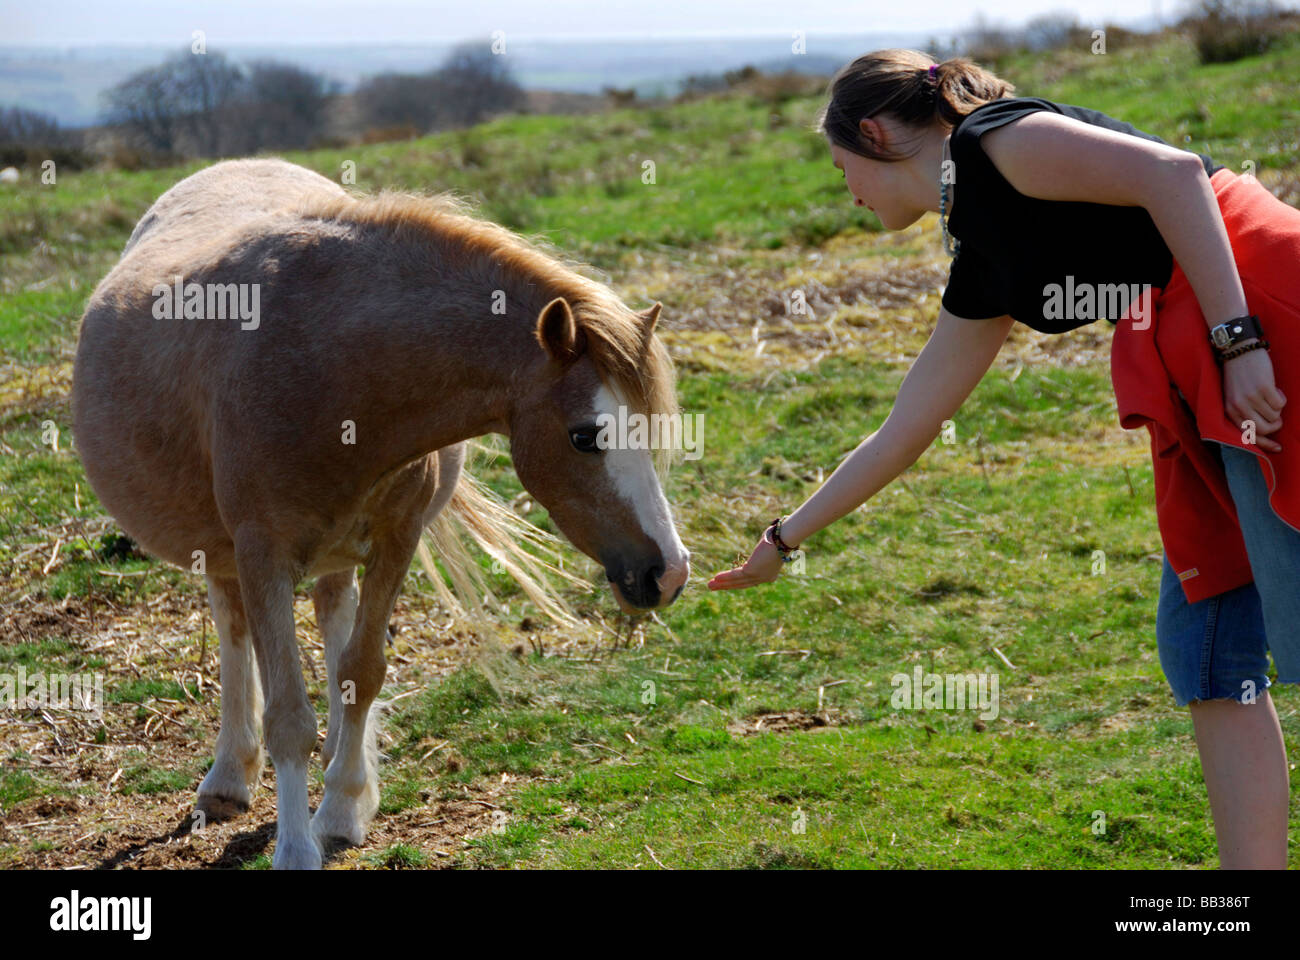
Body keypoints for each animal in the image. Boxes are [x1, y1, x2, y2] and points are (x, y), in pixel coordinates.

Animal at [71, 158, 691, 868]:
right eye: (586, 436)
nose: (671, 572)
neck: (329, 362)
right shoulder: (262, 552)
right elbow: (288, 715)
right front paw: (296, 847)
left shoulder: (399, 536)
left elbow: (362, 673)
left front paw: (341, 808)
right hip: (227, 553)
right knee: (234, 633)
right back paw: (228, 777)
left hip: (338, 552)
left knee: (334, 627)